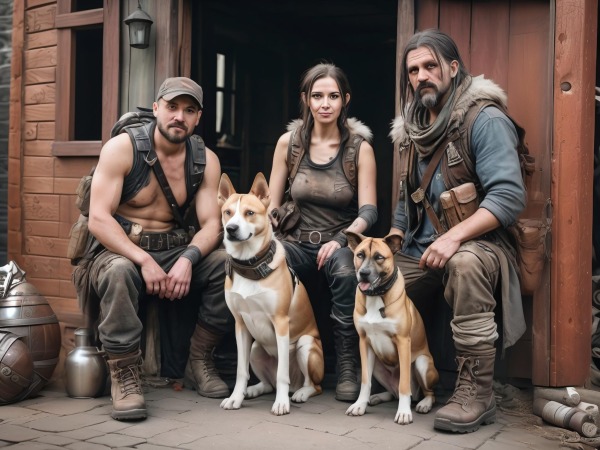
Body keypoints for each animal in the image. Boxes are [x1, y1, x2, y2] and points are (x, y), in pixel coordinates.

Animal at [218, 172, 326, 414]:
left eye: (249, 213)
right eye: (228, 212)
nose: (231, 229)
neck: (250, 265)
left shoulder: (281, 323)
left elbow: (282, 374)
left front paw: (282, 403)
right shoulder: (240, 324)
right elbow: (241, 371)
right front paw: (235, 397)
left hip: (306, 345)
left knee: (312, 385)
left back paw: (300, 393)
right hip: (256, 348)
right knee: (269, 383)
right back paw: (253, 390)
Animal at [344, 232, 438, 426]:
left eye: (379, 257)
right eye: (360, 255)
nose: (364, 273)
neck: (376, 295)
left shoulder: (403, 342)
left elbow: (404, 385)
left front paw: (403, 412)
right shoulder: (364, 342)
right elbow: (365, 381)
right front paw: (360, 405)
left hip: (422, 363)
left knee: (427, 393)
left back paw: (423, 403)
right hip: (377, 366)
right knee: (393, 392)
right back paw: (377, 397)